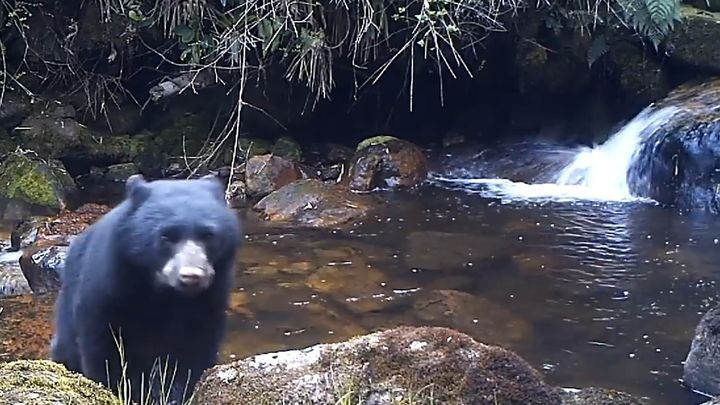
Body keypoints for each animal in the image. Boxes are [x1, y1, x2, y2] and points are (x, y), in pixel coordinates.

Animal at [50, 172, 245, 402]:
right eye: (166, 236)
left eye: (208, 235)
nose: (191, 276)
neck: (163, 293)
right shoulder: (108, 288)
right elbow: (104, 348)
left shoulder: (209, 299)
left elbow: (194, 351)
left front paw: (178, 393)